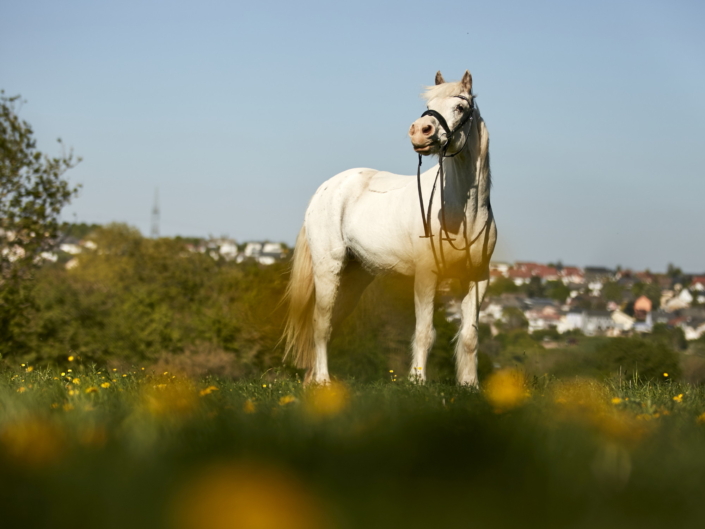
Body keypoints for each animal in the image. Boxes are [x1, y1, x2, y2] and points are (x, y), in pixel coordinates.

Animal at [280, 69, 496, 384]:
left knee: (331, 323)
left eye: (460, 107)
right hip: (328, 269)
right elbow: (424, 333)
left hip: (355, 277)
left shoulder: (477, 278)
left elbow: (469, 337)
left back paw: (312, 378)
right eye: (429, 103)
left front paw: (469, 385)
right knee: (320, 323)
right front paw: (417, 382)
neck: (464, 213)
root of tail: (327, 188)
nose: (420, 131)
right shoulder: (426, 276)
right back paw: (322, 380)